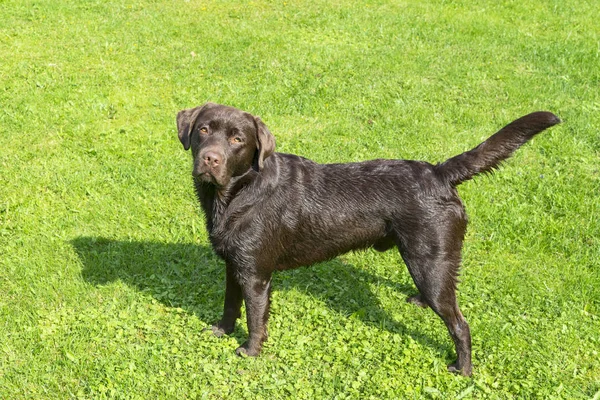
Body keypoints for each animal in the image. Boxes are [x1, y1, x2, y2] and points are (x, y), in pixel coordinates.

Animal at [176, 102, 560, 376]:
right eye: (204, 130)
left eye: (238, 140)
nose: (210, 158)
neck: (238, 193)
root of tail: (439, 173)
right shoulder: (233, 266)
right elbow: (230, 304)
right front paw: (221, 331)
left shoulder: (256, 275)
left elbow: (256, 319)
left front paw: (251, 352)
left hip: (430, 263)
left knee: (460, 324)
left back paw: (462, 370)